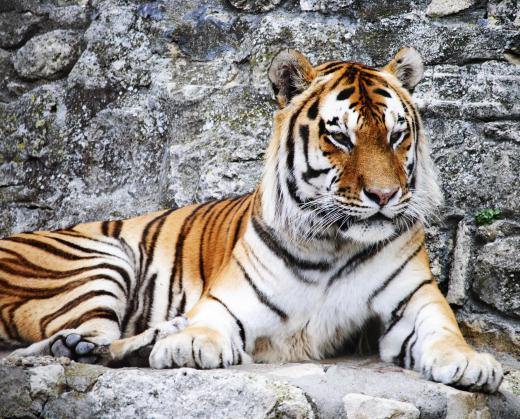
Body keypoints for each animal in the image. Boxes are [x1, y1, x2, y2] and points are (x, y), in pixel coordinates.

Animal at [2, 47, 502, 392]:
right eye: (340, 137)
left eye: (397, 134)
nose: (384, 195)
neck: (335, 243)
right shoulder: (228, 303)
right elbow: (206, 325)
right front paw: (190, 343)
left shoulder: (416, 302)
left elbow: (446, 331)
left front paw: (473, 362)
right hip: (99, 261)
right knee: (46, 346)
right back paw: (103, 344)